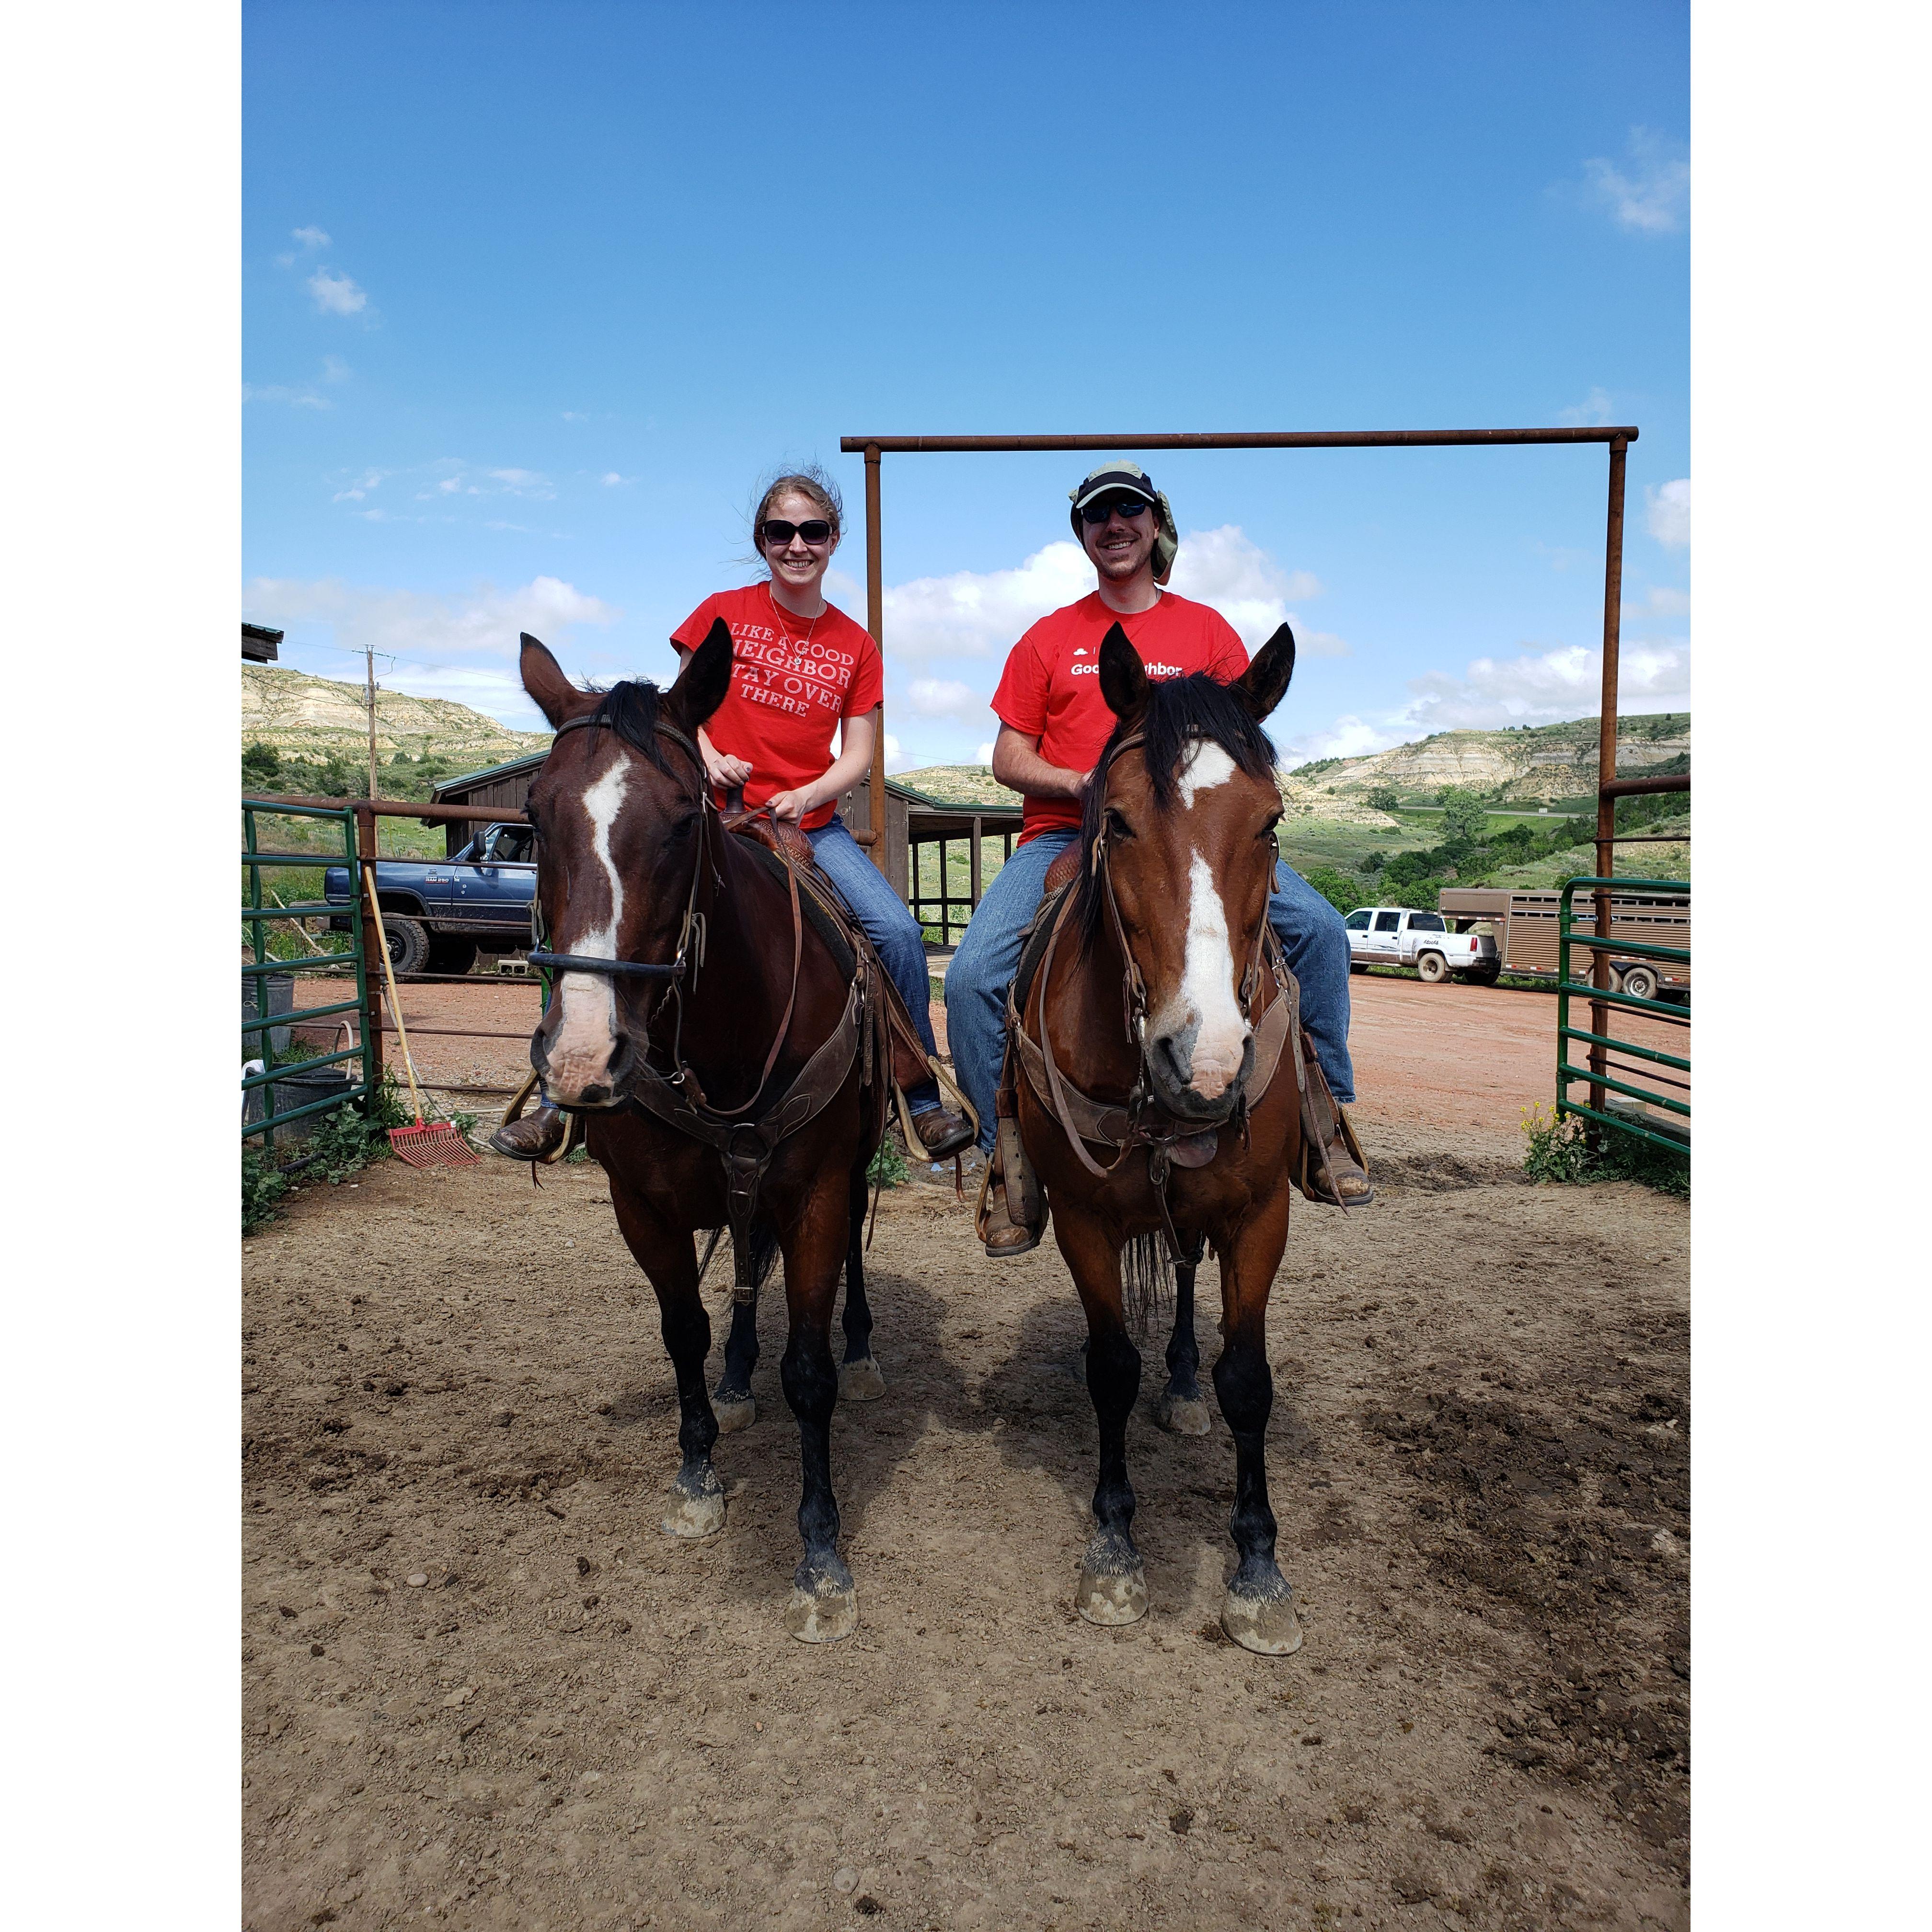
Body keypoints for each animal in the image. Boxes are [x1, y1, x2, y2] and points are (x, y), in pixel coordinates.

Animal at [518, 630, 885, 1646]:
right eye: (532, 816)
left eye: (684, 821)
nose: (583, 1057)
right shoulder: (640, 1206)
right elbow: (683, 1329)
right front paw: (696, 1474)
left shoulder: (819, 1194)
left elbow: (810, 1370)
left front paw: (821, 1555)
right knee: (745, 1272)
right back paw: (736, 1375)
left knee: (847, 1266)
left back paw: (862, 1346)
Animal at [1012, 622, 1313, 1661]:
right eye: (1121, 822)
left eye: (1270, 824)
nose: (1204, 1057)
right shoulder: (1084, 1220)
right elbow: (1109, 1370)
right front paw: (1113, 1551)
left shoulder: (1261, 1215)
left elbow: (1248, 1379)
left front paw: (1259, 1569)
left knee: (1187, 1282)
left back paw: (1184, 1389)